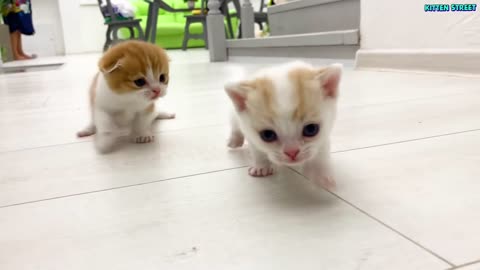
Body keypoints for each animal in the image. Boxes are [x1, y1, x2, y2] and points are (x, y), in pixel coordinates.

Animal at [225, 61, 342, 189]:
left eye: (311, 129)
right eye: (267, 135)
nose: (292, 152)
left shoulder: (325, 133)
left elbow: (320, 151)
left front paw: (320, 174)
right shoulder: (249, 132)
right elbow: (257, 150)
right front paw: (261, 166)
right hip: (235, 115)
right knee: (235, 126)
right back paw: (234, 140)